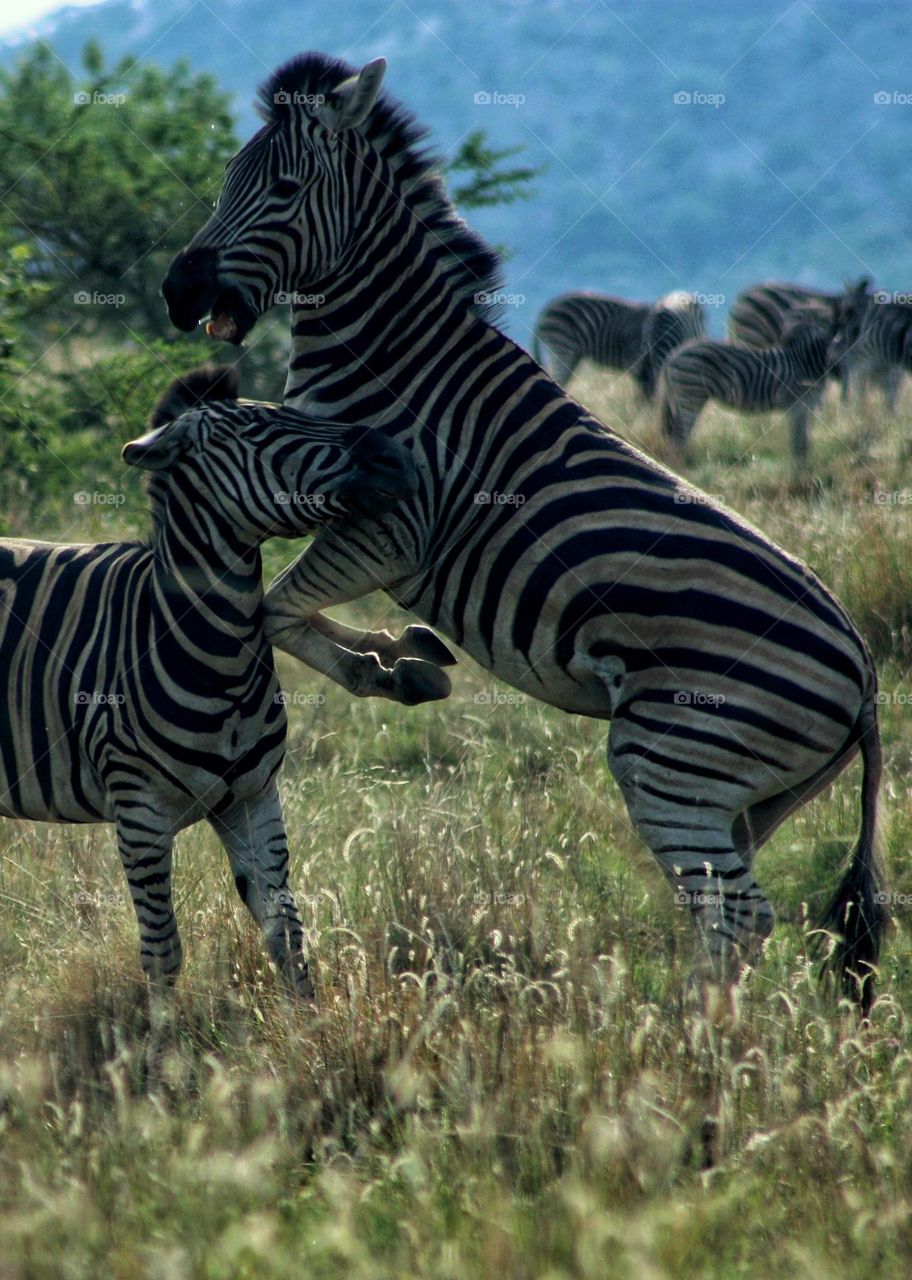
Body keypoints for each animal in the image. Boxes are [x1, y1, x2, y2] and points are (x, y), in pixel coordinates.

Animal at [1, 366, 415, 993]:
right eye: (257, 429)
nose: (395, 453)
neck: (223, 661)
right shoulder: (139, 812)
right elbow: (163, 953)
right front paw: (160, 1026)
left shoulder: (254, 798)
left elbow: (287, 933)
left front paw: (307, 1020)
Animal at [162, 52, 881, 1008]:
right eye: (225, 181)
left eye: (280, 187)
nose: (177, 290)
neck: (391, 360)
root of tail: (865, 672)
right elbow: (283, 608)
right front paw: (402, 654)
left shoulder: (387, 527)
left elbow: (278, 611)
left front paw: (388, 667)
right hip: (748, 796)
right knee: (728, 917)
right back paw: (693, 1029)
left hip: (674, 758)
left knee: (738, 918)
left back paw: (686, 1040)